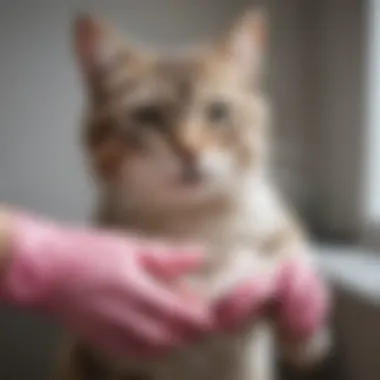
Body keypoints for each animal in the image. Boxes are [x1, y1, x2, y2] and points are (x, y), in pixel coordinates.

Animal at [56, 8, 330, 380]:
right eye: (148, 116)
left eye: (218, 111)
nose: (189, 150)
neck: (199, 223)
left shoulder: (276, 231)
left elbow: (291, 263)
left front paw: (302, 329)